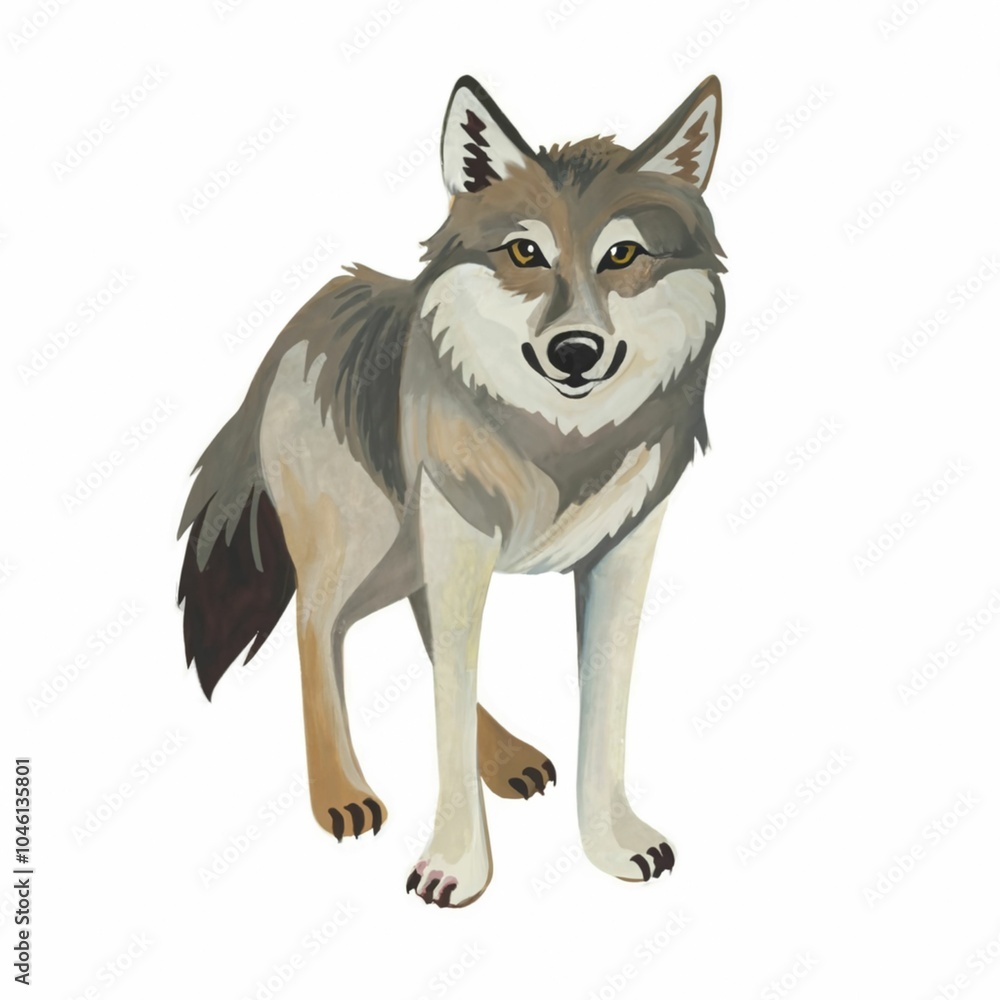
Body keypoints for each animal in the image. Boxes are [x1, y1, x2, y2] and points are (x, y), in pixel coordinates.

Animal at [178, 74, 727, 907]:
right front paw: (456, 866)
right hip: (365, 544)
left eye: (622, 254)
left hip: (409, 552)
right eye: (526, 252)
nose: (575, 351)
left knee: (417, 628)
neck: (563, 440)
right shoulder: (461, 540)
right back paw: (340, 793)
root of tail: (304, 318)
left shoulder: (621, 552)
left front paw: (613, 843)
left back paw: (504, 757)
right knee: (317, 627)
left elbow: (601, 712)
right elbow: (443, 717)